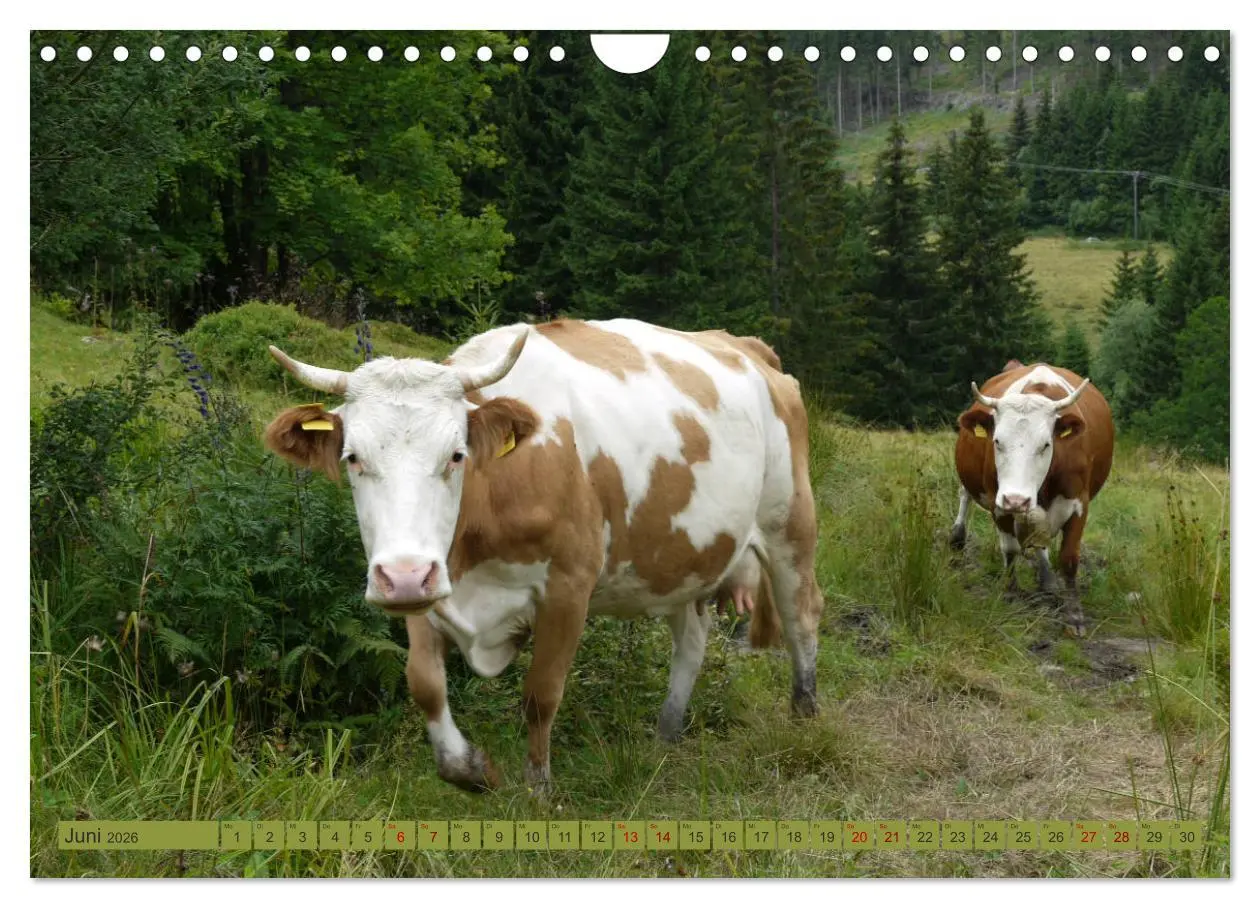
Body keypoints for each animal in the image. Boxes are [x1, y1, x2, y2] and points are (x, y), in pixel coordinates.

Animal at [262, 318, 824, 792]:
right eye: (352, 458)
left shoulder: (568, 589)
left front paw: (538, 791)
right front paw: (470, 769)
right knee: (692, 639)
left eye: (456, 455)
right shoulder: (428, 583)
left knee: (802, 615)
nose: (402, 577)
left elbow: (541, 695)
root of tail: (745, 346)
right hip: (680, 557)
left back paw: (806, 713)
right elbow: (424, 684)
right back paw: (666, 733)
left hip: (790, 524)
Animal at [949, 362, 1115, 634]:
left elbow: (1069, 558)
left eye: (1046, 444)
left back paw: (1047, 579)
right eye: (997, 441)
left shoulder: (1079, 503)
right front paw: (1010, 593)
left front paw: (1075, 616)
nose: (1016, 500)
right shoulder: (998, 501)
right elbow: (1010, 548)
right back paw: (957, 537)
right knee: (965, 495)